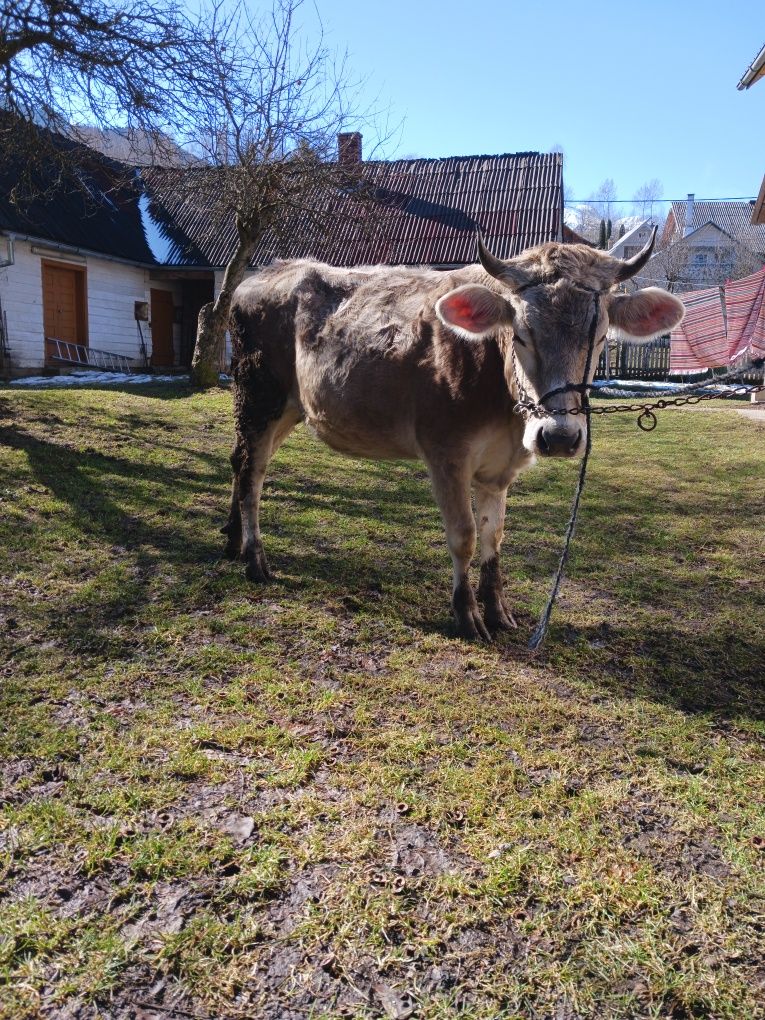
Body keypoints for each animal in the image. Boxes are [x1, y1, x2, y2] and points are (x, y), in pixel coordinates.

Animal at [224, 234, 685, 640]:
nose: (558, 437)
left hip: (290, 406)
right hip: (259, 396)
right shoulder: (446, 453)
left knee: (239, 460)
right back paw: (254, 558)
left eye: (601, 336)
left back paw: (232, 539)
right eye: (521, 334)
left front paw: (498, 610)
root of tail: (265, 274)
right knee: (252, 471)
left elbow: (493, 536)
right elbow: (464, 536)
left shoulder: (500, 469)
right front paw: (467, 615)